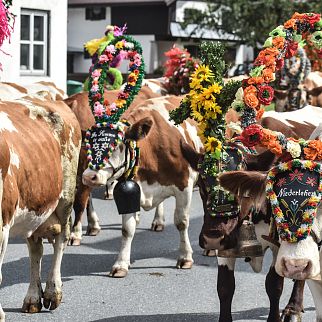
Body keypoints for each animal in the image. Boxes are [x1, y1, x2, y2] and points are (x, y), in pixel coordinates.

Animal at [0, 93, 82, 320]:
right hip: (36, 209)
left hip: (65, 197)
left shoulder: (2, 224)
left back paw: (53, 291)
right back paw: (33, 298)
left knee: (61, 240)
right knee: (36, 250)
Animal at [82, 95, 203, 276]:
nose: (89, 177)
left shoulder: (184, 185)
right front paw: (121, 264)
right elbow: (127, 229)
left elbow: (181, 222)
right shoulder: (130, 192)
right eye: (88, 144)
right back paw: (158, 221)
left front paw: (185, 257)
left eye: (117, 145)